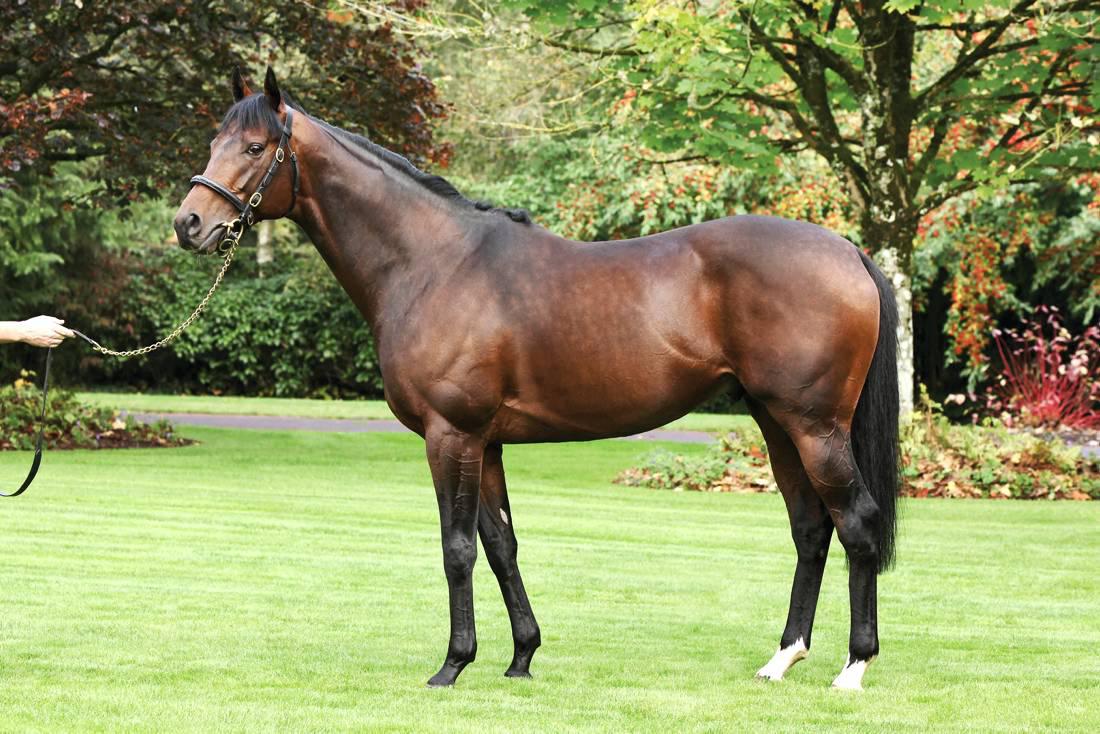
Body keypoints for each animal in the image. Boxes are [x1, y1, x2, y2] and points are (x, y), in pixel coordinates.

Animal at [174, 68, 900, 691]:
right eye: (214, 141)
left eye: (255, 146)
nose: (189, 224)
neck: (433, 263)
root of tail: (848, 251)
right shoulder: (486, 442)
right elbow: (501, 545)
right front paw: (521, 657)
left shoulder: (450, 435)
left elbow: (457, 548)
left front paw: (452, 665)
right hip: (777, 424)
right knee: (811, 529)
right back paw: (782, 658)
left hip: (815, 427)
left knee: (856, 522)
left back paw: (854, 667)